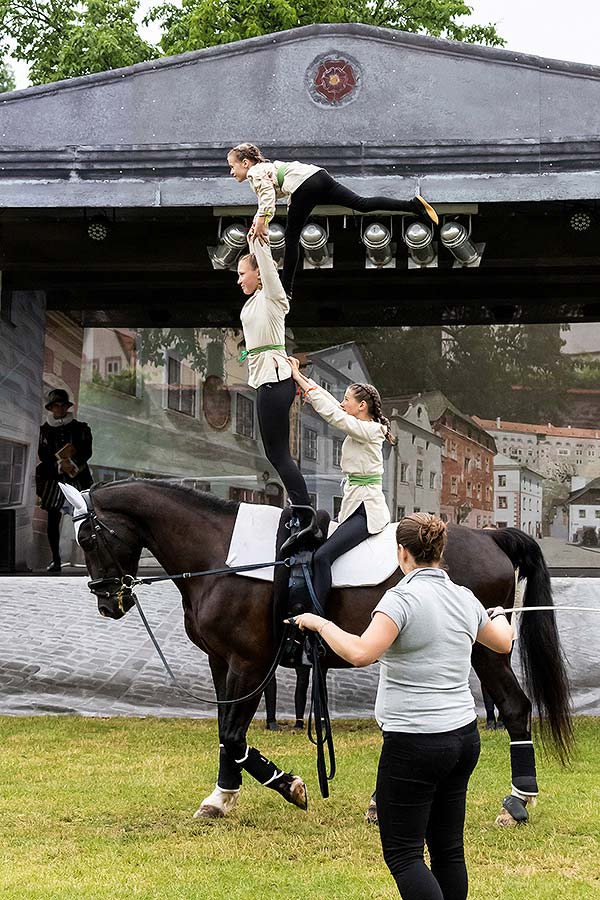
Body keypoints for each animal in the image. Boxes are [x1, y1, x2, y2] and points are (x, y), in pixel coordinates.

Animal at [69, 482, 572, 828]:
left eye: (88, 539)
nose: (107, 602)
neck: (223, 556)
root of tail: (491, 538)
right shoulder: (221, 662)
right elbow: (224, 733)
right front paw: (221, 797)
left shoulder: (250, 663)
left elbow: (234, 733)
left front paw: (287, 785)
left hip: (483, 651)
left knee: (515, 708)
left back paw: (517, 801)